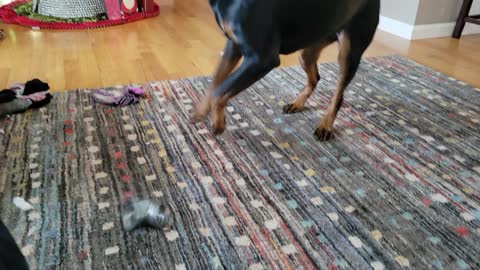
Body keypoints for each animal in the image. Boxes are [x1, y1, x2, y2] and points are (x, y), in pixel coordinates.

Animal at [190, 1, 378, 141]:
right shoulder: (233, 45)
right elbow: (215, 82)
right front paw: (201, 112)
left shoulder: (261, 58)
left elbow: (219, 91)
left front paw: (219, 123)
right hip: (308, 50)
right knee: (315, 78)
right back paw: (297, 104)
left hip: (349, 49)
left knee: (338, 94)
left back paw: (325, 125)